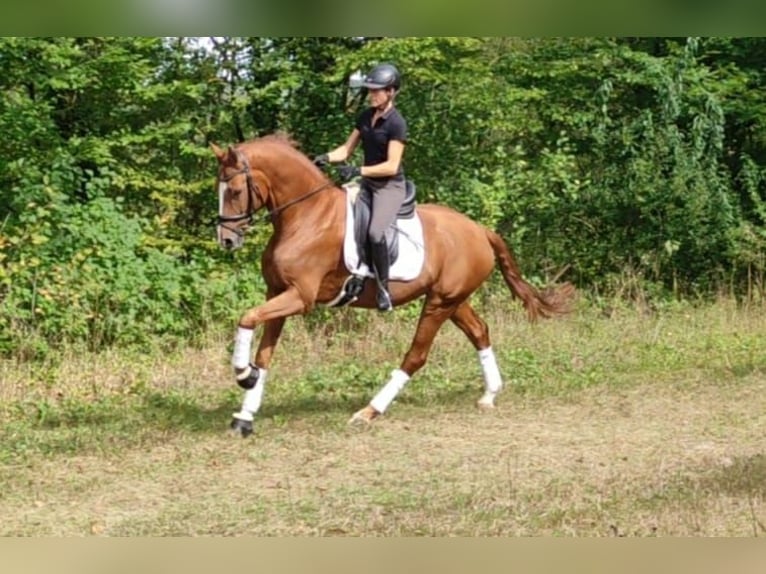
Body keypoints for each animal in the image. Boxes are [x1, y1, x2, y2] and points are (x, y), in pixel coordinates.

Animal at [213, 135, 572, 438]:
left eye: (234, 191)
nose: (227, 240)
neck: (305, 217)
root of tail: (479, 230)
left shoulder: (299, 297)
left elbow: (246, 318)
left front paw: (243, 374)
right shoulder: (276, 294)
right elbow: (264, 353)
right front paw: (245, 415)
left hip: (440, 303)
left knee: (416, 355)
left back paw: (370, 411)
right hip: (452, 300)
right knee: (479, 331)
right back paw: (489, 394)